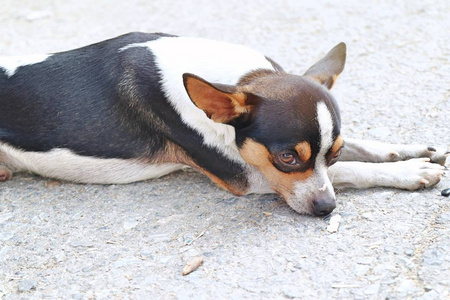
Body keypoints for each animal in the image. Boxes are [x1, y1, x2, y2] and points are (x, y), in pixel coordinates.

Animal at [0, 32, 446, 216]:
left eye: (331, 154)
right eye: (287, 158)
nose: (326, 208)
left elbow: (358, 149)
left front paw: (409, 151)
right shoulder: (248, 176)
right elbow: (354, 170)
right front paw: (411, 172)